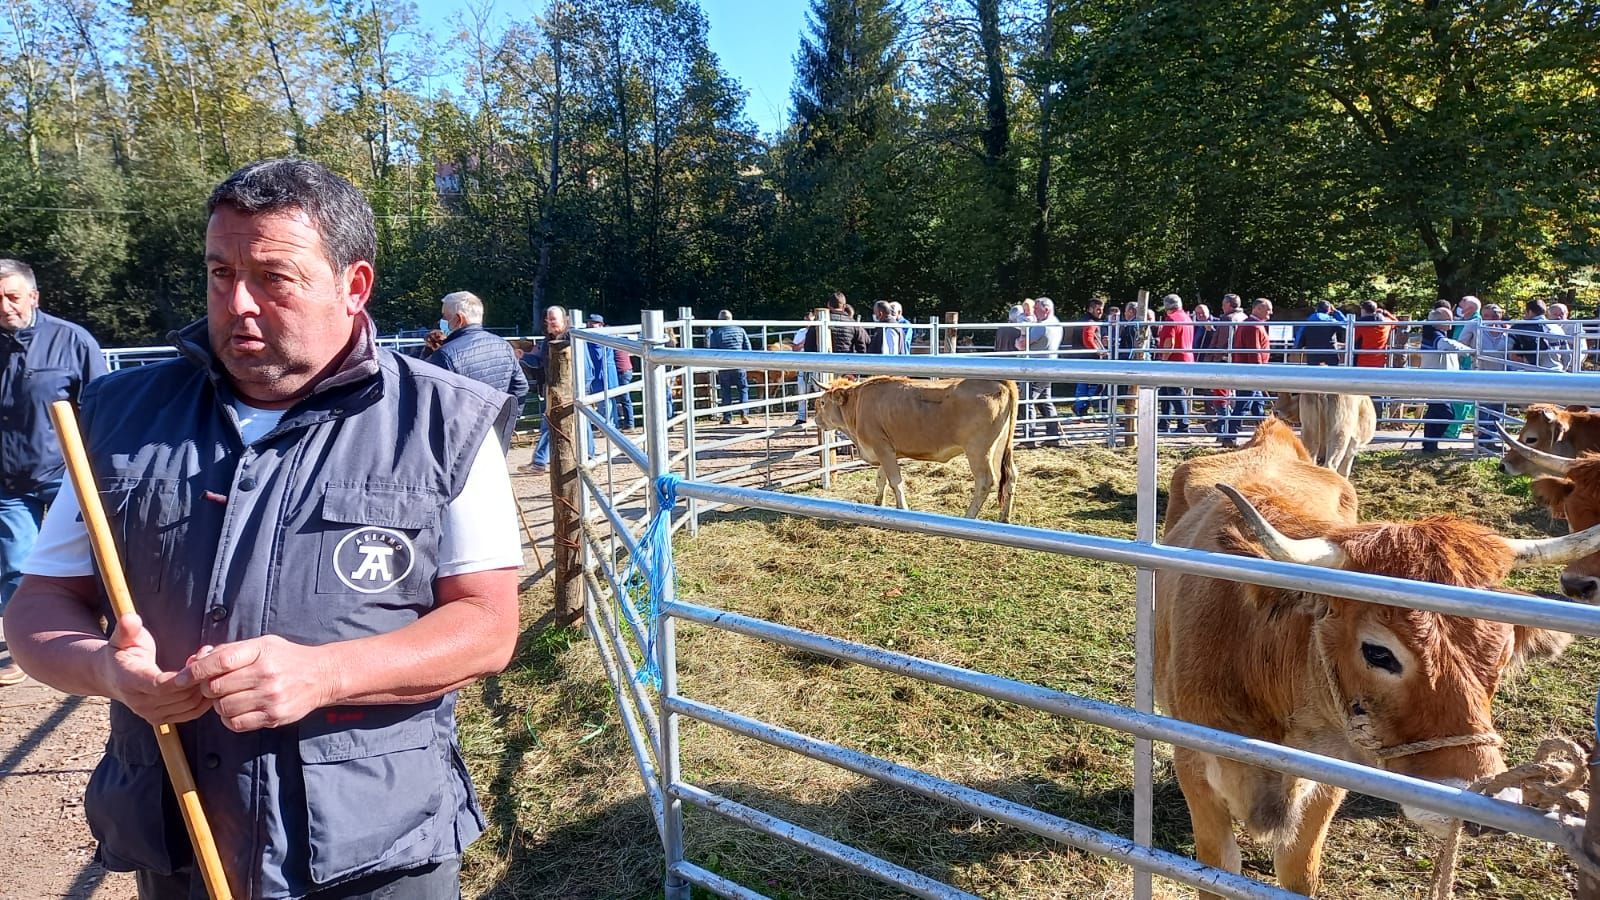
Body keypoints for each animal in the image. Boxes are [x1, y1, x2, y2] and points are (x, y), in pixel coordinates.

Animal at [819, 373, 1017, 518]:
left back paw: (969, 517)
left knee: (985, 481)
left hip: (978, 450)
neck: (857, 404)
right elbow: (881, 478)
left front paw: (902, 508)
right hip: (999, 447)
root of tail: (999, 381)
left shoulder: (881, 446)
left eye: (821, 402)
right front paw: (878, 503)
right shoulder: (887, 449)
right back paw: (1004, 518)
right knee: (1011, 476)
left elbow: (895, 480)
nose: (816, 419)